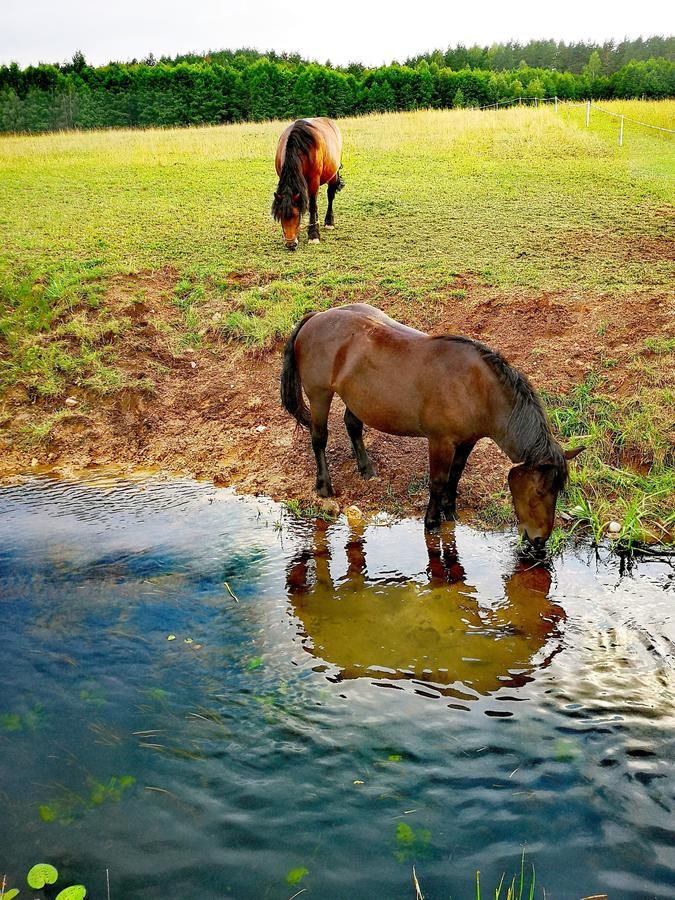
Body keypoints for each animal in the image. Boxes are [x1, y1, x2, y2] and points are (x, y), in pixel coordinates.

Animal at [272, 118, 344, 250]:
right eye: (280, 217)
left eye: (296, 215)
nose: (290, 244)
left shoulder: (313, 180)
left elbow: (312, 206)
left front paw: (313, 235)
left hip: (332, 174)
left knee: (329, 196)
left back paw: (329, 222)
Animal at [282, 304, 584, 548]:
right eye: (540, 491)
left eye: (559, 491)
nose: (540, 540)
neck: (477, 388)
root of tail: (316, 316)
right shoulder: (440, 441)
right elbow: (437, 481)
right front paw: (432, 521)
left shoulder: (467, 441)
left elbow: (455, 474)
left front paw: (450, 510)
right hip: (319, 394)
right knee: (319, 438)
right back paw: (324, 486)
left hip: (357, 397)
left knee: (352, 425)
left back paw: (366, 469)